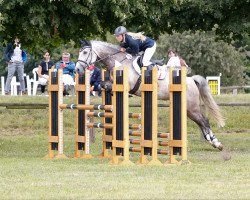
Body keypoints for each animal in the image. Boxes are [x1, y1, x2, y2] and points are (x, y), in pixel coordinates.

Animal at [75, 39, 225, 151]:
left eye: (85, 52)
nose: (77, 69)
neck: (120, 62)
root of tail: (191, 80)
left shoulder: (128, 85)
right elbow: (103, 84)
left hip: (191, 107)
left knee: (204, 121)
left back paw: (216, 143)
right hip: (188, 109)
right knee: (201, 122)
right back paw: (212, 142)